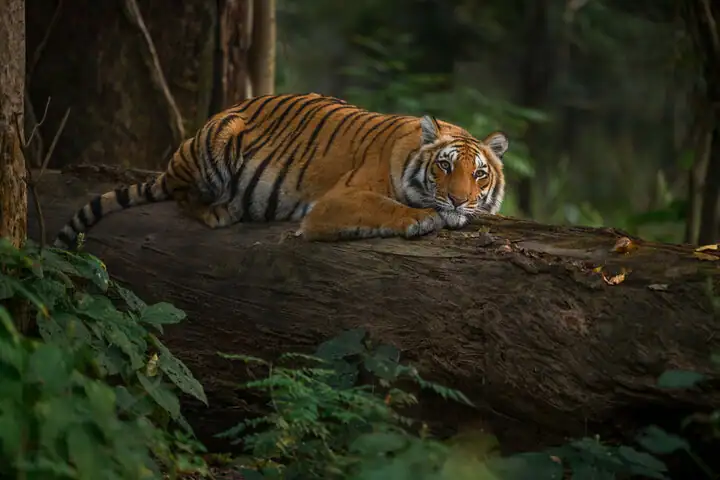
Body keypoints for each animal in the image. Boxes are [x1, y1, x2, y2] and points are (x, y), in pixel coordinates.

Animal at [53, 92, 510, 249]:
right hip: (217, 140)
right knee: (183, 195)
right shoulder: (336, 201)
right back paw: (219, 212)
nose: (459, 200)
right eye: (444, 166)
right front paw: (424, 218)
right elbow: (385, 207)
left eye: (480, 174)